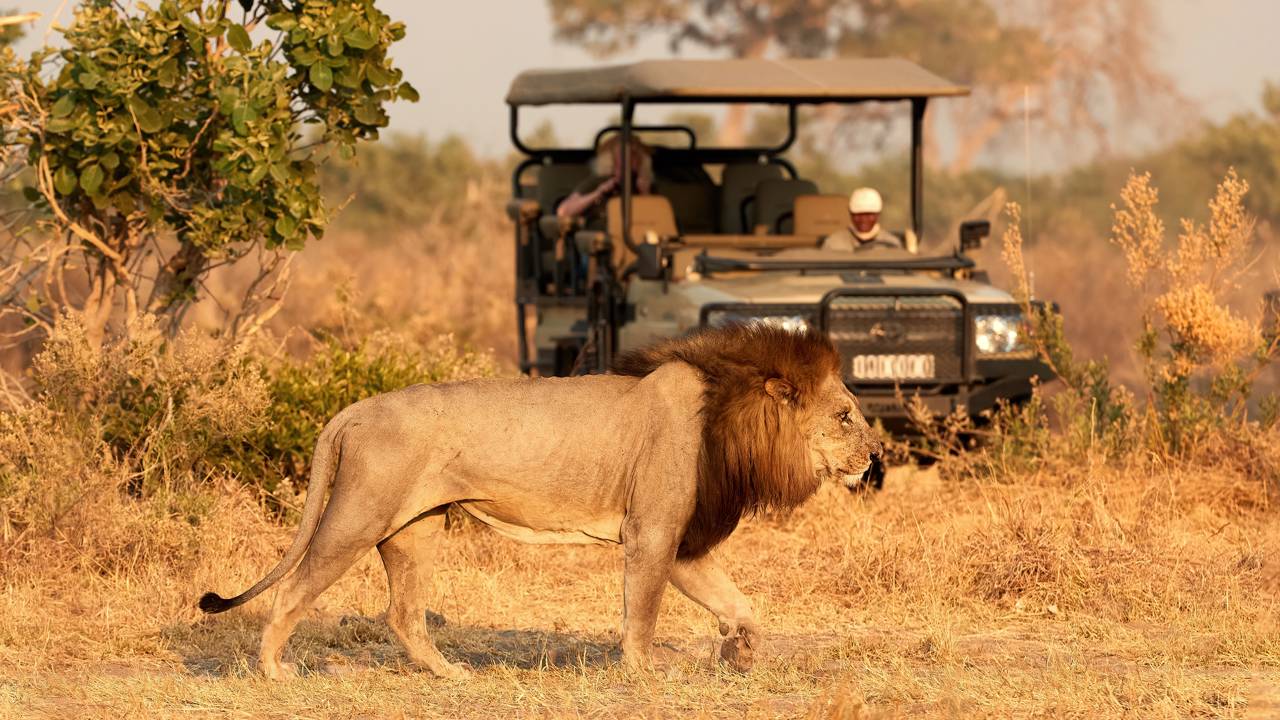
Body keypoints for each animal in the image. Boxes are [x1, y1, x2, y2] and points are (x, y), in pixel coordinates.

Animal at [199, 324, 883, 680]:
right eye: (846, 416)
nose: (876, 454)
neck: (729, 414)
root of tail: (352, 410)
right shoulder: (655, 532)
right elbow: (642, 610)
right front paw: (642, 671)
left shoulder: (684, 541)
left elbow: (740, 604)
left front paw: (739, 650)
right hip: (359, 516)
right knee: (295, 588)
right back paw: (273, 670)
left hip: (414, 528)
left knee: (404, 614)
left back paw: (452, 675)